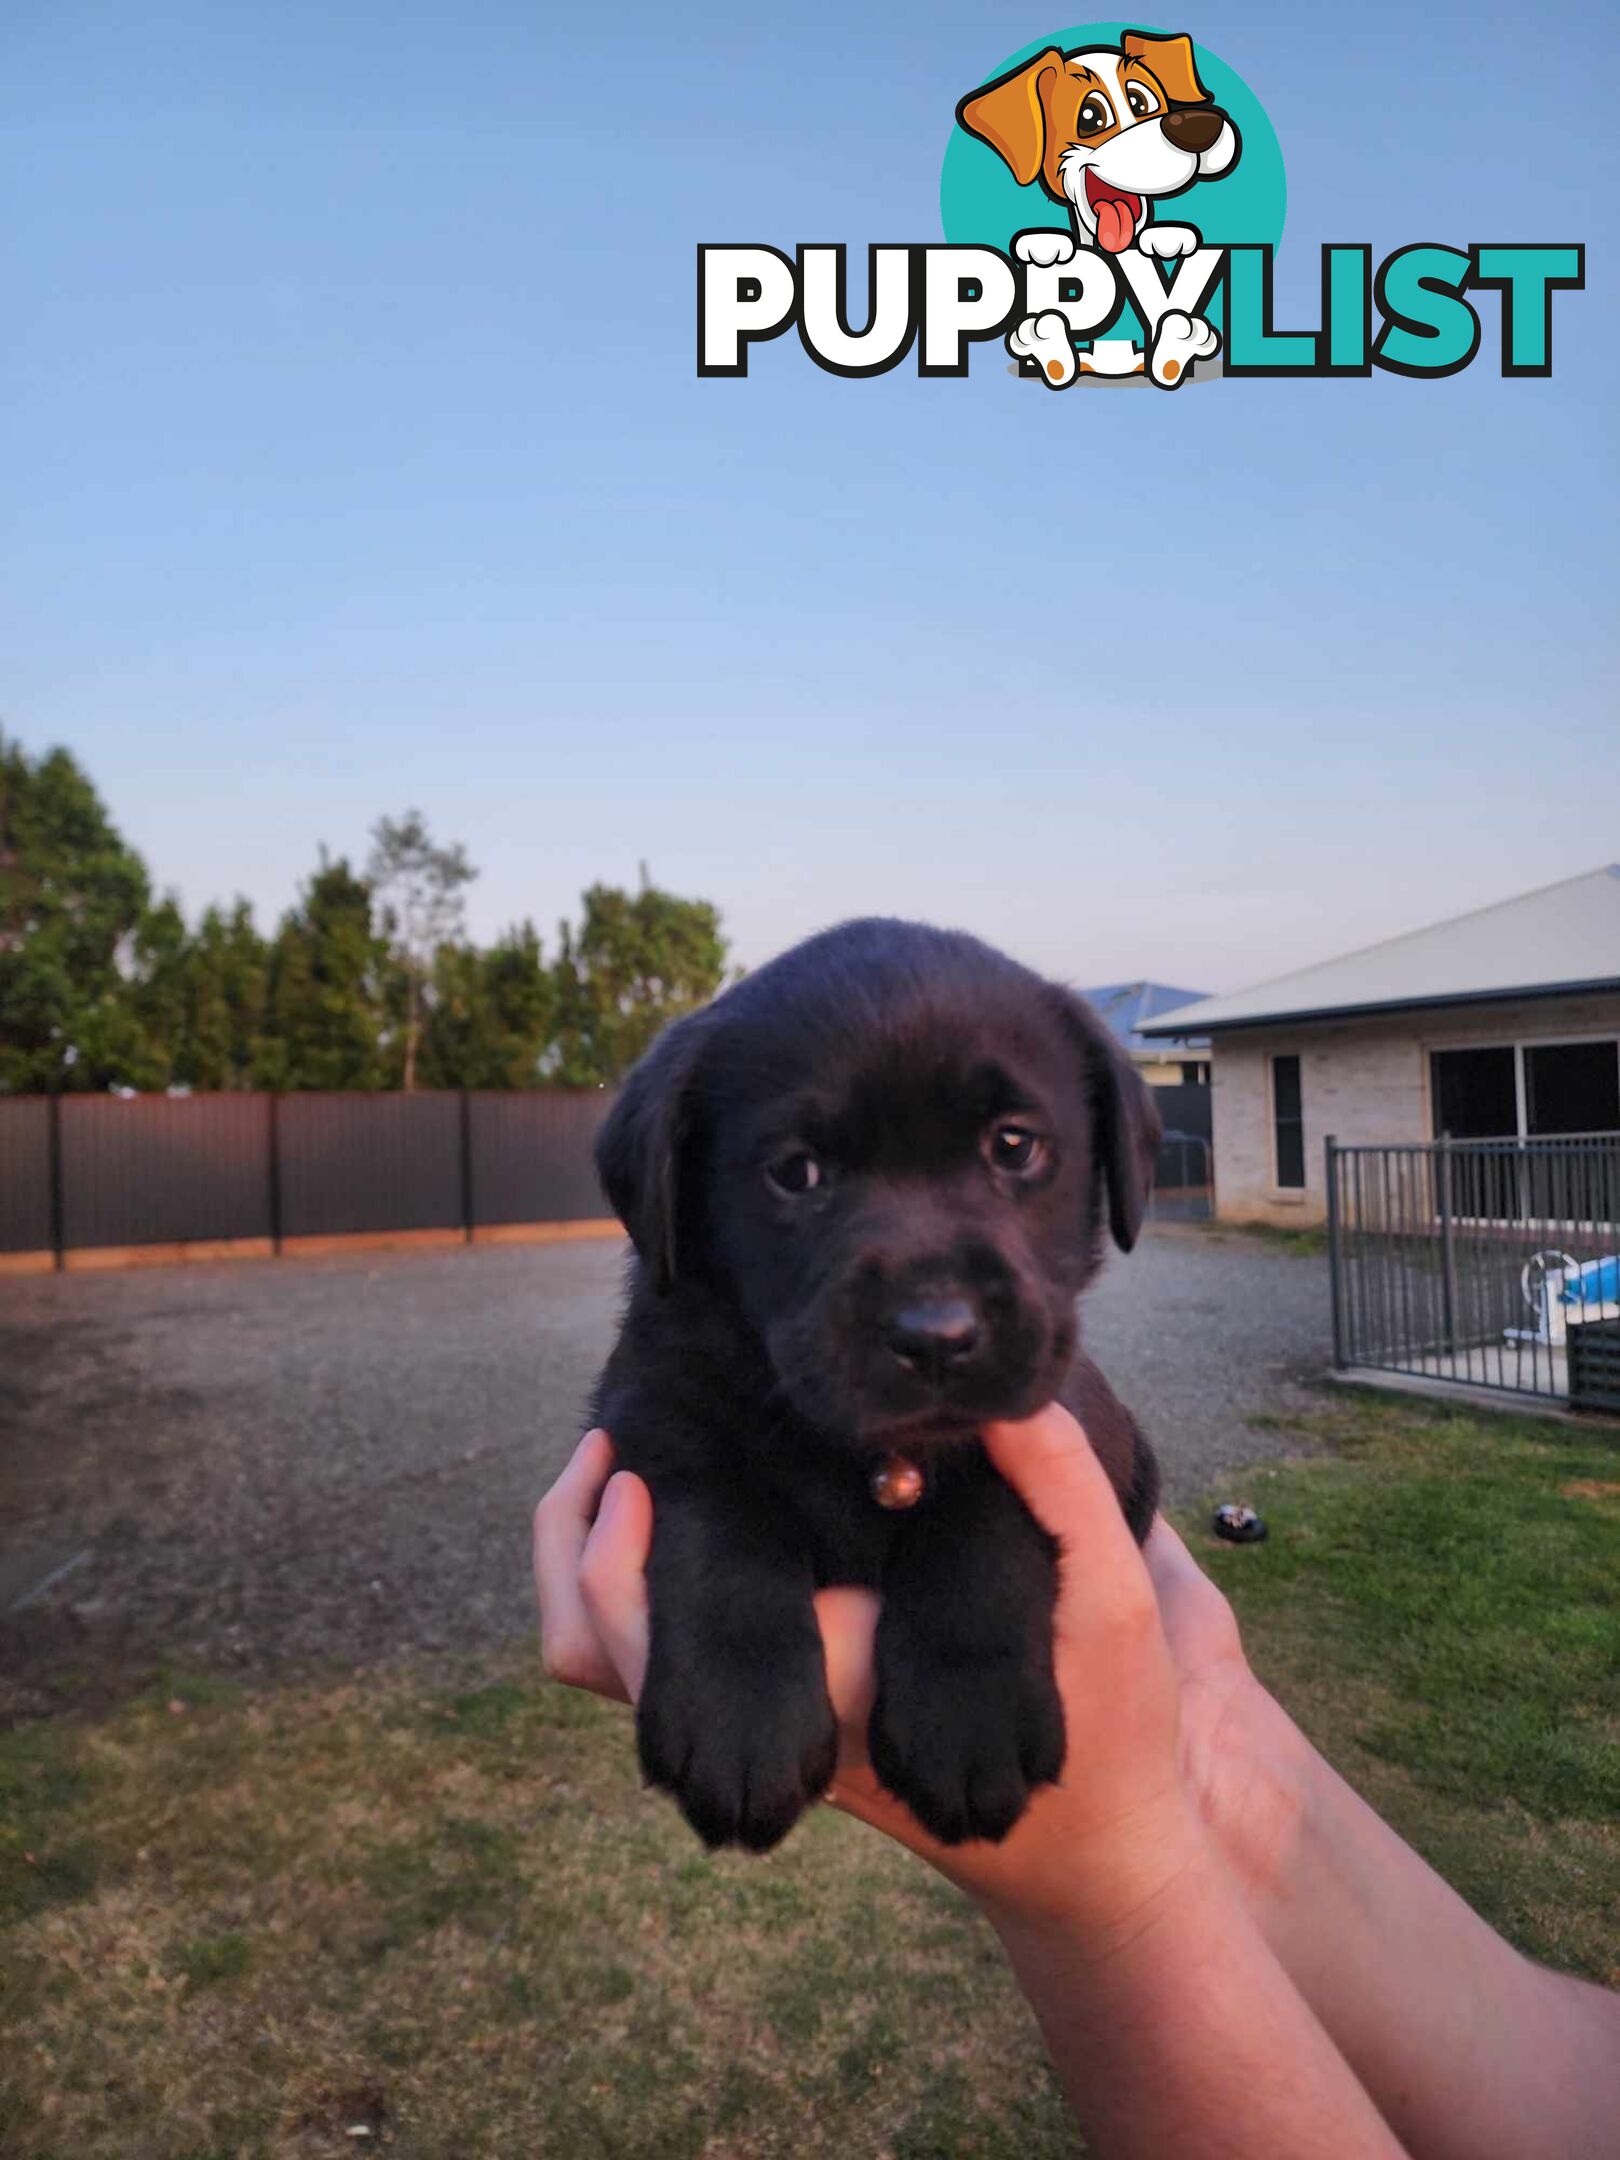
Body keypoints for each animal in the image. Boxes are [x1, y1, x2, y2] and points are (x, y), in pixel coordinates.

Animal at [591, 920, 1157, 1848]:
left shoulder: (1065, 1419)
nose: (936, 1336)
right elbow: (720, 1518)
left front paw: (968, 1716)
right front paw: (741, 1720)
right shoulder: (646, 1417)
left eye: (1014, 1145)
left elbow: (987, 1515)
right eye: (796, 1171)